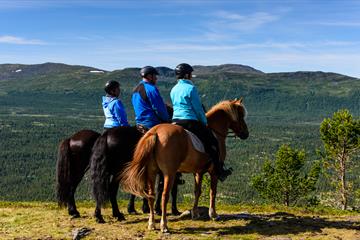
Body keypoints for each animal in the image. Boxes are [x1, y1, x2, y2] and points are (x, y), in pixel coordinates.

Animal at [120, 98, 248, 232]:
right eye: (241, 115)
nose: (246, 133)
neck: (214, 132)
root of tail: (155, 132)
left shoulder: (198, 171)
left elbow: (197, 191)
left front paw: (195, 213)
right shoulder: (213, 171)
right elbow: (213, 191)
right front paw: (213, 214)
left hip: (151, 171)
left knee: (151, 195)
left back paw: (151, 224)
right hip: (169, 173)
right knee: (164, 195)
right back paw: (164, 225)